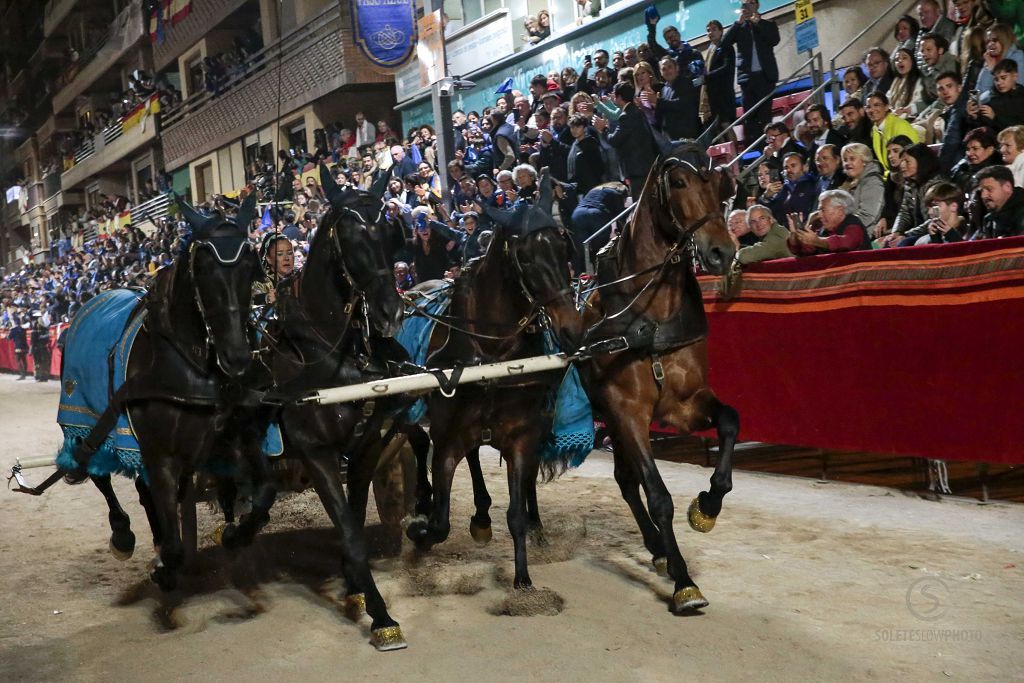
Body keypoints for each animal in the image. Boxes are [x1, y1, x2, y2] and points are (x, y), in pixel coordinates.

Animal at [581, 145, 741, 614]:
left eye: (720, 184)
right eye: (681, 182)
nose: (722, 252)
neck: (646, 320)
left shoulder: (682, 404)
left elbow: (730, 421)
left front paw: (707, 507)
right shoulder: (629, 412)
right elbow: (658, 495)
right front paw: (684, 581)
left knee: (623, 480)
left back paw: (656, 547)